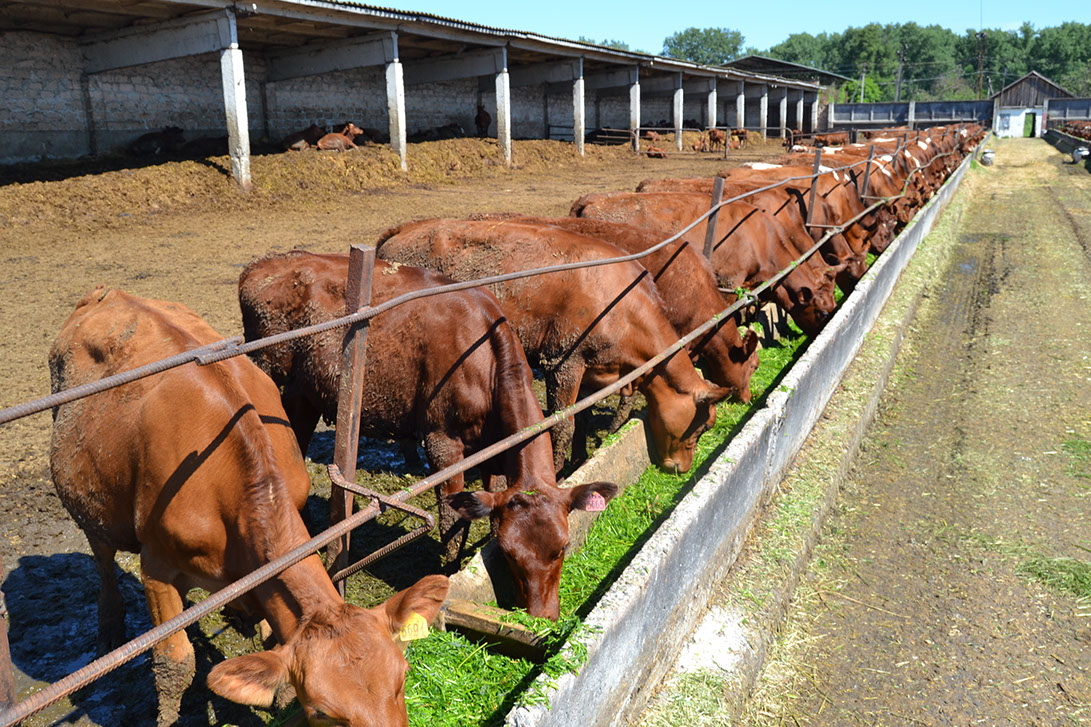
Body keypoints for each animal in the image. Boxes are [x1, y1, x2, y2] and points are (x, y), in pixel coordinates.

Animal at [49, 288, 449, 724]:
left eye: (403, 676)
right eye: (322, 713)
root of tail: (109, 293)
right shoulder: (156, 566)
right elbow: (174, 663)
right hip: (89, 501)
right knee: (103, 558)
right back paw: (109, 629)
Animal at [238, 251, 615, 615]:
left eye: (563, 546)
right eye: (510, 553)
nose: (542, 615)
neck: (485, 359)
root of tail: (261, 265)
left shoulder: (492, 449)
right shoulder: (442, 440)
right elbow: (452, 518)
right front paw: (451, 572)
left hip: (305, 392)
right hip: (271, 376)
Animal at [375, 218, 733, 473]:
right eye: (700, 428)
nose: (682, 469)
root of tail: (403, 229)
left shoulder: (592, 369)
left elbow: (583, 416)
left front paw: (580, 458)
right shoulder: (562, 362)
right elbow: (563, 424)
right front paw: (560, 473)